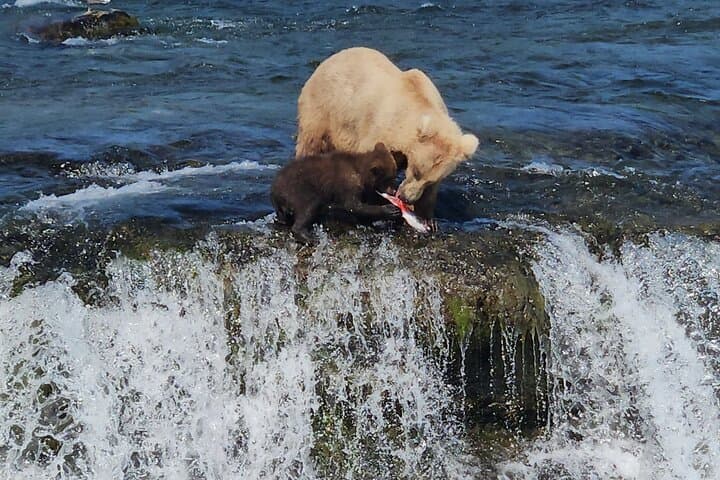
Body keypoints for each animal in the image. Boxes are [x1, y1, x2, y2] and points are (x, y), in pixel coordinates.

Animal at [271, 142, 400, 244]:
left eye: (394, 175)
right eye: (389, 178)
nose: (393, 191)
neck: (360, 173)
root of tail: (275, 190)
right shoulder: (348, 182)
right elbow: (353, 205)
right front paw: (390, 210)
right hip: (298, 189)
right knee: (309, 206)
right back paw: (308, 237)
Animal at [296, 46, 479, 220]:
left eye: (429, 180)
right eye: (416, 171)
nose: (406, 198)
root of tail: (330, 59)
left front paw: (427, 217)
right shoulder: (381, 127)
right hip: (323, 109)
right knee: (311, 144)